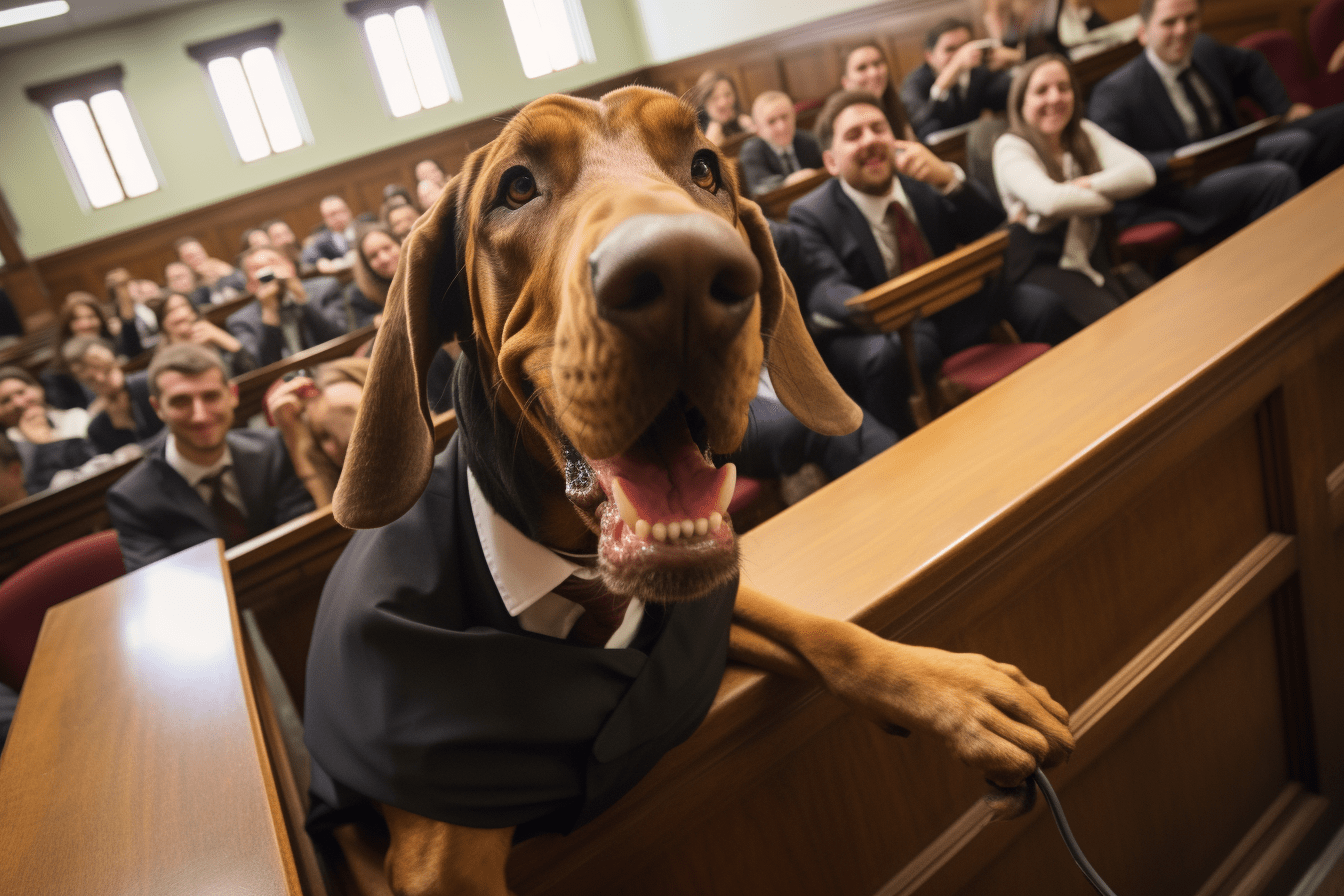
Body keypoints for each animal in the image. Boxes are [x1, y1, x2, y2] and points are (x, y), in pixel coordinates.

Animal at [314, 85, 1069, 896]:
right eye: (515, 187)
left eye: (705, 166)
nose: (682, 269)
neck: (576, 572)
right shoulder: (441, 860)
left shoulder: (699, 613)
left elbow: (822, 630)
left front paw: (956, 690)